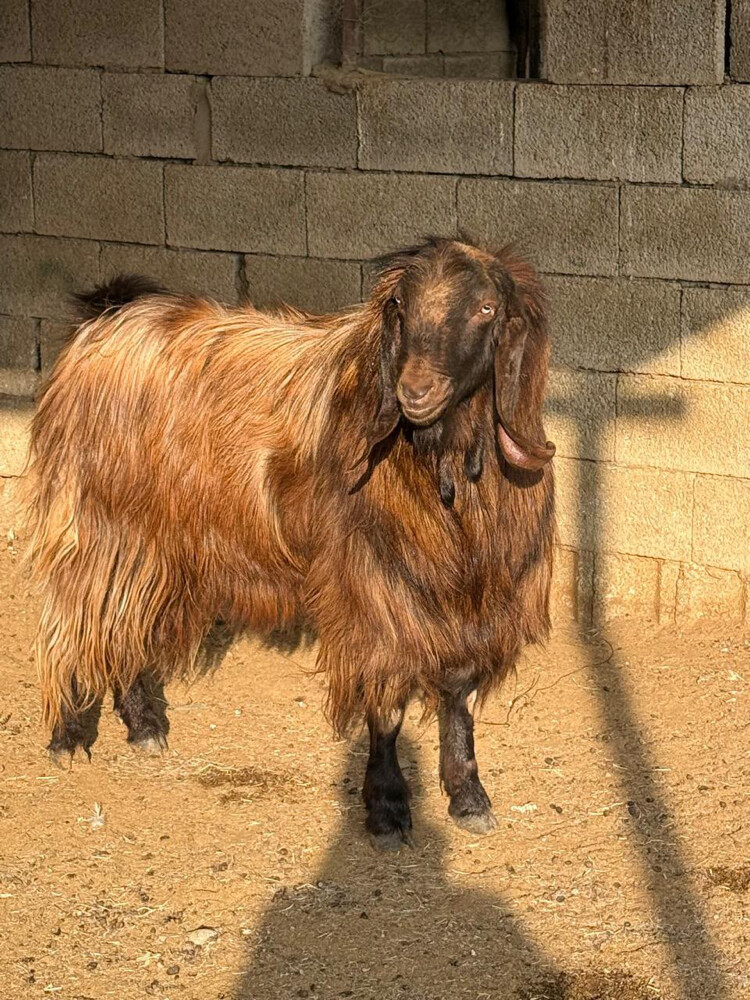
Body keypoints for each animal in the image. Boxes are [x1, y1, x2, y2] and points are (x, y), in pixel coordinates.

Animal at [28, 236, 555, 846]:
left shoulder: (469, 592)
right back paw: (67, 735)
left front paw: (469, 796)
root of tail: (105, 319)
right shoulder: (371, 587)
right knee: (77, 620)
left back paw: (144, 726)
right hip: (97, 523)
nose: (415, 391)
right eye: (400, 306)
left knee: (126, 625)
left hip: (156, 541)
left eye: (486, 308)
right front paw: (387, 806)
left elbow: (458, 694)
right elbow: (386, 701)